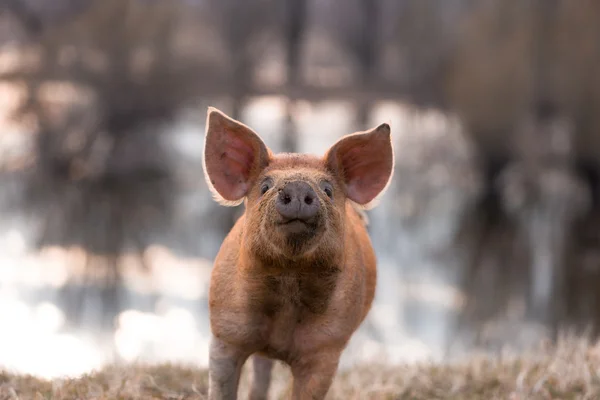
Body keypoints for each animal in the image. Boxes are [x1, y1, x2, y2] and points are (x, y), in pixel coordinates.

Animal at [203, 107, 394, 400]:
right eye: (265, 187)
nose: (298, 185)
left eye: (327, 190)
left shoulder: (326, 347)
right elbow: (222, 384)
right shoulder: (226, 332)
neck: (289, 278)